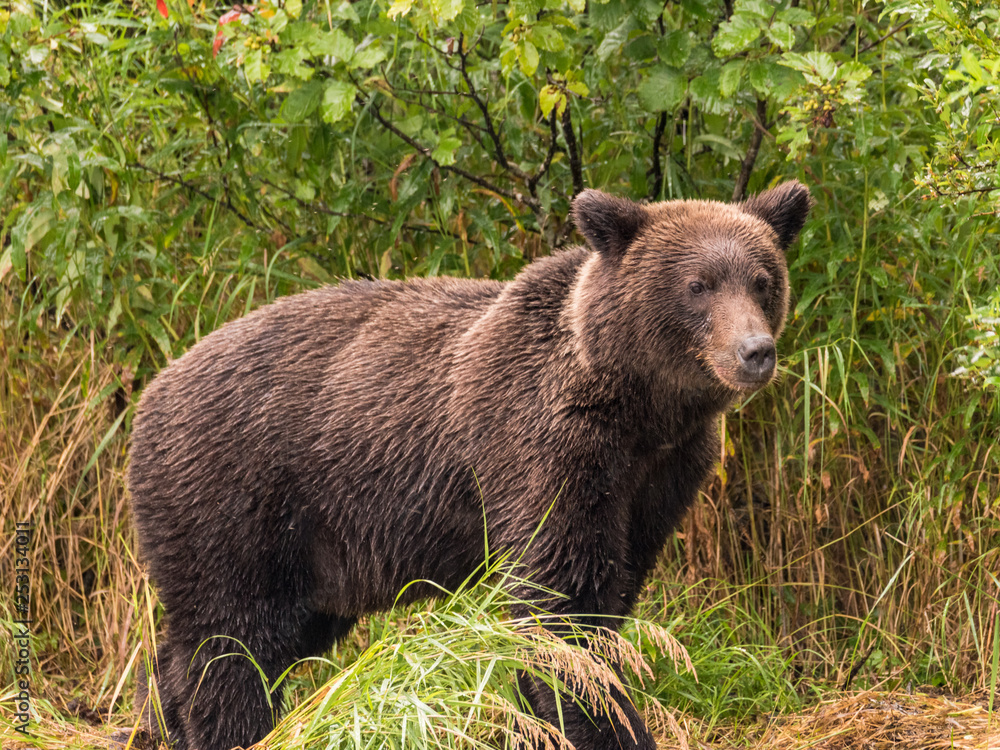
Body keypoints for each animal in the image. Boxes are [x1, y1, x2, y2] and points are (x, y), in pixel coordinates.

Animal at [129, 182, 812, 750]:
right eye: (698, 285)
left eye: (762, 280)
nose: (755, 351)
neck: (640, 409)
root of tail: (150, 394)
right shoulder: (544, 447)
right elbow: (561, 607)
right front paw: (606, 723)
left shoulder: (660, 476)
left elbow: (613, 592)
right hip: (236, 499)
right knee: (232, 643)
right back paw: (231, 731)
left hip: (314, 557)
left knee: (223, 646)